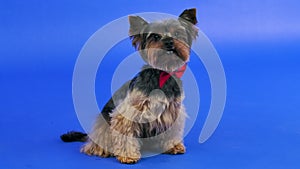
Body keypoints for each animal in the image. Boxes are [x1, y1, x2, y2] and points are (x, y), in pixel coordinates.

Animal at [61, 8, 198, 164]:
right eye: (155, 36)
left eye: (177, 34)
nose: (169, 42)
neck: (161, 74)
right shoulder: (128, 113)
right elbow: (125, 134)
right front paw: (128, 155)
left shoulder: (173, 110)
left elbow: (172, 131)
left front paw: (173, 145)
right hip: (103, 124)